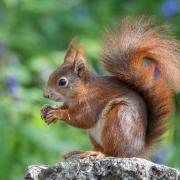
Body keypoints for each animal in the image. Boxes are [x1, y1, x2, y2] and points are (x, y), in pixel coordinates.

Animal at [40, 16, 180, 158]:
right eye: (51, 74)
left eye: (62, 82)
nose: (45, 94)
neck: (81, 91)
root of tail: (136, 151)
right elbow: (65, 108)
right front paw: (47, 108)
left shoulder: (92, 102)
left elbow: (82, 119)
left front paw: (57, 113)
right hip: (95, 135)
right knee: (99, 147)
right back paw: (81, 151)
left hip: (117, 121)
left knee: (112, 152)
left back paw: (98, 153)